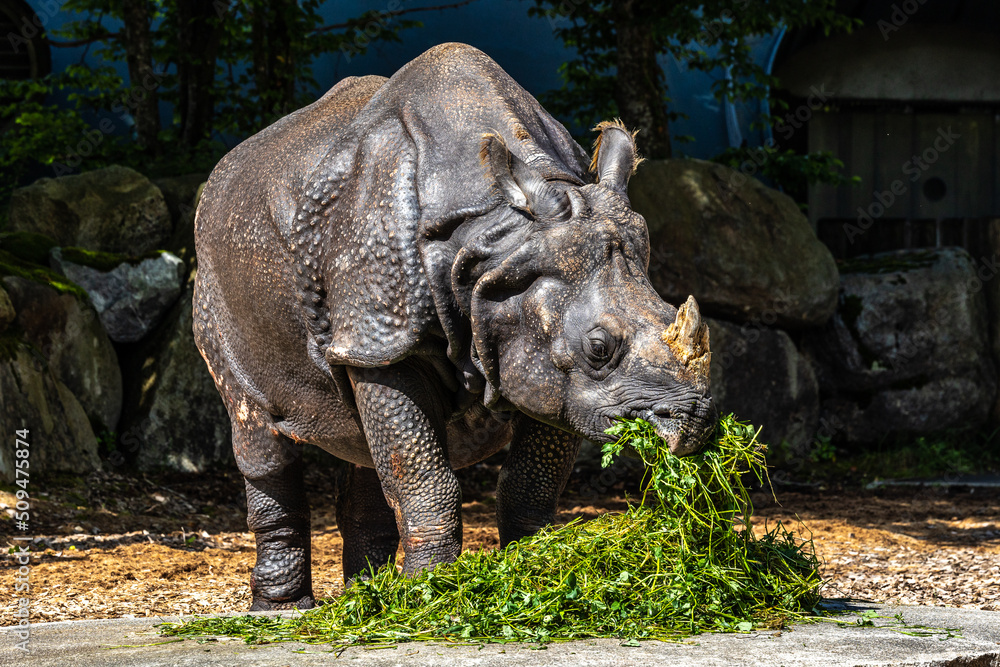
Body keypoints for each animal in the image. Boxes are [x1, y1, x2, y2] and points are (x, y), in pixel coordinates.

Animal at [193, 43, 715, 610]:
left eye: (671, 314)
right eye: (599, 347)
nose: (696, 422)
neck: (497, 238)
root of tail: (219, 175)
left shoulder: (549, 371)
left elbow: (528, 484)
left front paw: (530, 570)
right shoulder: (387, 336)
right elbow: (425, 479)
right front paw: (429, 596)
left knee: (358, 432)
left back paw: (365, 598)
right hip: (216, 279)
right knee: (258, 431)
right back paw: (283, 611)